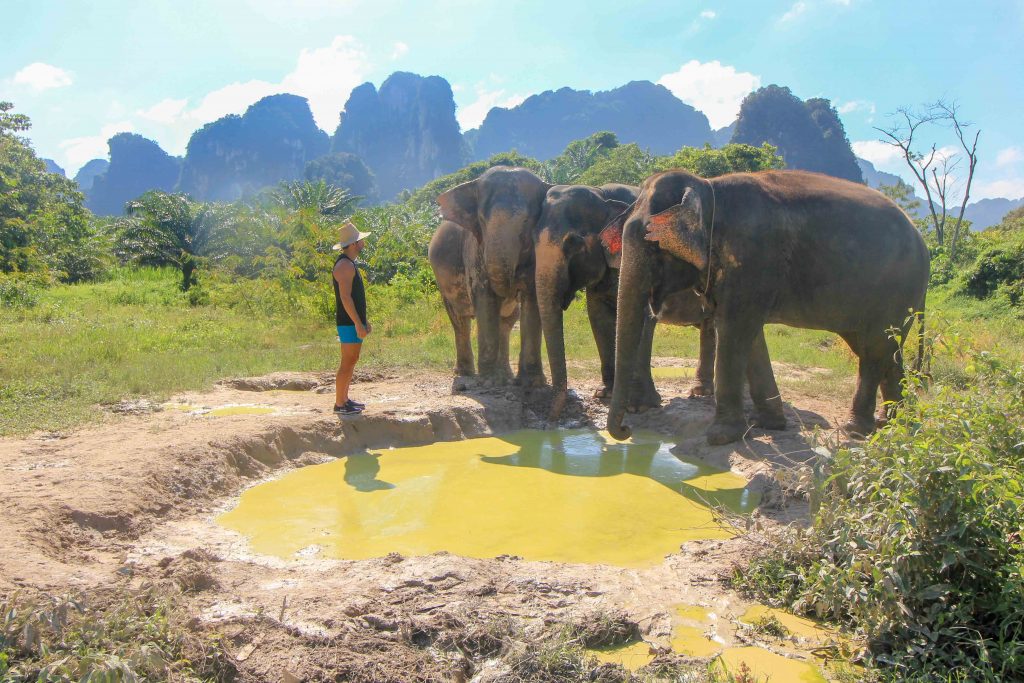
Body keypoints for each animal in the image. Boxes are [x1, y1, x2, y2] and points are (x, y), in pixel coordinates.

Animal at [438, 165, 557, 387]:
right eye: (482, 220)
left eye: (526, 221)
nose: (511, 291)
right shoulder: (475, 250)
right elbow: (484, 297)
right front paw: (490, 382)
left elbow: (532, 297)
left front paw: (532, 382)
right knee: (460, 320)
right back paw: (466, 374)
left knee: (507, 321)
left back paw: (507, 376)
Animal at [532, 183, 716, 417]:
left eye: (573, 243)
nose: (552, 416)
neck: (603, 193)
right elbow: (598, 317)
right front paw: (604, 394)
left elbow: (642, 318)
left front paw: (638, 406)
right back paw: (701, 391)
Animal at [602, 169, 933, 446]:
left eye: (652, 242)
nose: (626, 430)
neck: (708, 187)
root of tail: (922, 241)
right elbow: (748, 336)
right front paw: (766, 424)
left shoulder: (751, 257)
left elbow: (733, 328)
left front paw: (721, 437)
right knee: (882, 348)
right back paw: (895, 422)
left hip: (897, 289)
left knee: (875, 349)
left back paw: (856, 430)